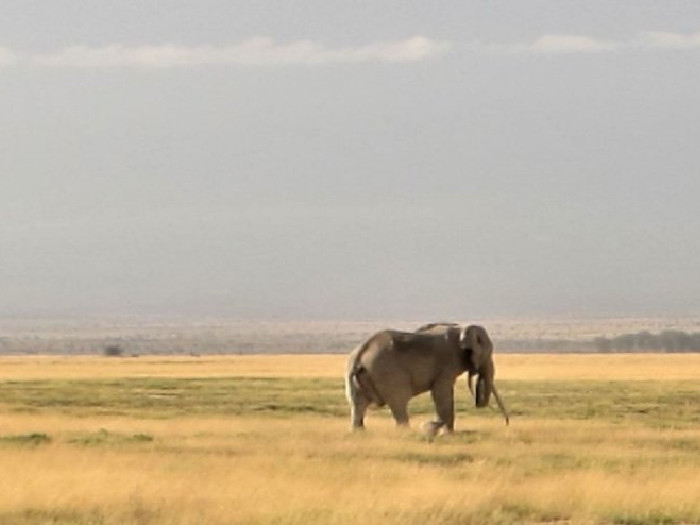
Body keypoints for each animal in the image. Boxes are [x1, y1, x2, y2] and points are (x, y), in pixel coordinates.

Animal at [345, 323, 509, 435]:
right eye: (488, 353)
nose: (507, 424)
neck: (461, 328)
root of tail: (360, 354)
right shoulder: (447, 363)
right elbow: (442, 393)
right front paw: (447, 434)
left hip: (354, 378)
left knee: (358, 405)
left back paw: (359, 433)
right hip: (388, 373)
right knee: (399, 403)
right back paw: (406, 433)